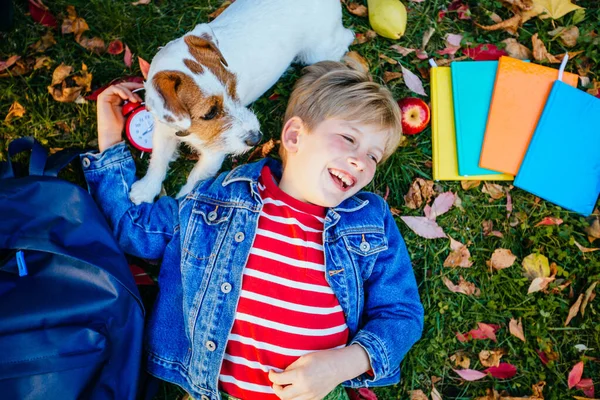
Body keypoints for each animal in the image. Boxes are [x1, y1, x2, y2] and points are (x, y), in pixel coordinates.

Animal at [129, 0, 354, 205]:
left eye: (234, 88)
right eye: (209, 113)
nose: (256, 138)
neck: (187, 130)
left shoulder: (214, 153)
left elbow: (195, 179)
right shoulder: (163, 132)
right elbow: (158, 161)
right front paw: (145, 190)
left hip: (319, 51)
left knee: (343, 39)